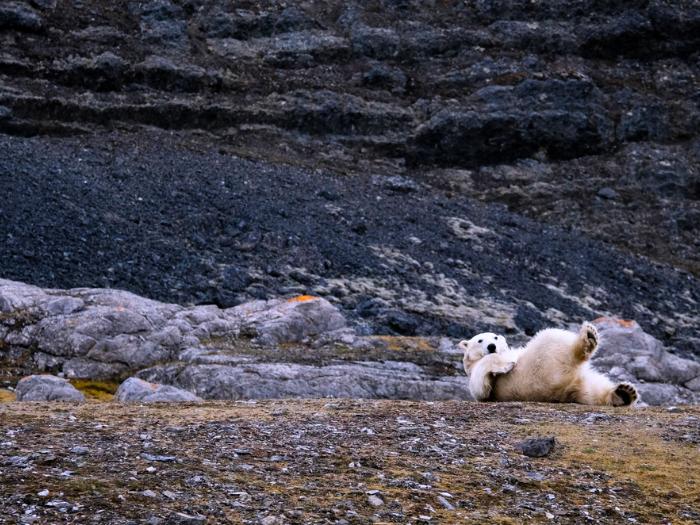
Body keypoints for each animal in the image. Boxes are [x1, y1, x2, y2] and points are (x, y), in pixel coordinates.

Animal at [460, 324, 640, 406]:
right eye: (480, 340)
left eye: (496, 337)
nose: (492, 346)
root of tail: (562, 390)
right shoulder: (478, 376)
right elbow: (482, 386)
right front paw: (507, 364)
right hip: (541, 364)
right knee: (552, 336)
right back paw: (588, 337)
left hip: (577, 383)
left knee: (593, 391)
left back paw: (624, 393)